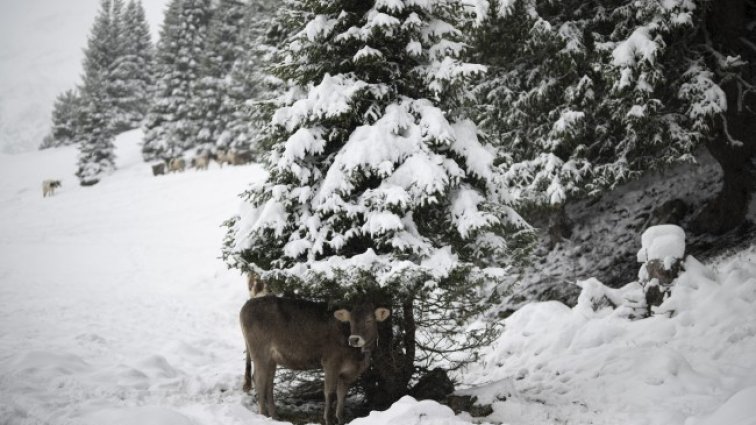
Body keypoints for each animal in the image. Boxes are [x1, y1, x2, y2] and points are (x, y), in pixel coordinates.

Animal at [241, 296, 390, 422]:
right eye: (350, 321)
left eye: (369, 320)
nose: (354, 339)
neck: (359, 357)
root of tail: (247, 304)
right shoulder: (331, 363)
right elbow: (330, 393)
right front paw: (328, 420)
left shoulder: (348, 374)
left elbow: (342, 396)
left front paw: (340, 419)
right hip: (260, 352)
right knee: (259, 380)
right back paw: (263, 415)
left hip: (272, 358)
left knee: (268, 383)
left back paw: (275, 416)